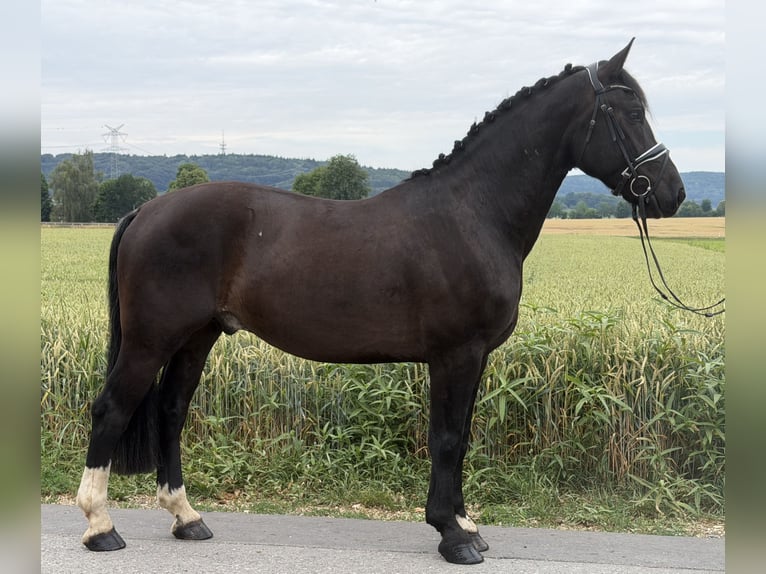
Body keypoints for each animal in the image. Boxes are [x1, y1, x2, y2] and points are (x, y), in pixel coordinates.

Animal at [75, 39, 685, 565]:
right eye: (631, 111)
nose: (672, 193)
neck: (472, 213)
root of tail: (146, 210)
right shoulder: (455, 354)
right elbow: (446, 438)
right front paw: (452, 536)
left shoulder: (475, 358)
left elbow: (461, 437)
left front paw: (465, 525)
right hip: (151, 338)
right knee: (112, 409)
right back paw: (101, 526)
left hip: (196, 337)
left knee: (171, 411)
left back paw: (187, 517)